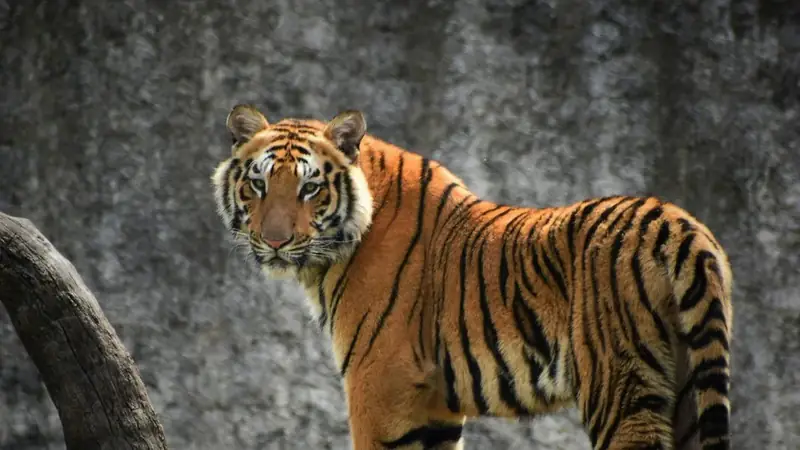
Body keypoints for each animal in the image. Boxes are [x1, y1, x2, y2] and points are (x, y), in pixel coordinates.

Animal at [211, 104, 733, 450]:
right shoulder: (434, 405)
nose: (275, 241)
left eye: (310, 188)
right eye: (258, 183)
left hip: (621, 387)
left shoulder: (378, 382)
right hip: (689, 384)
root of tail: (679, 225)